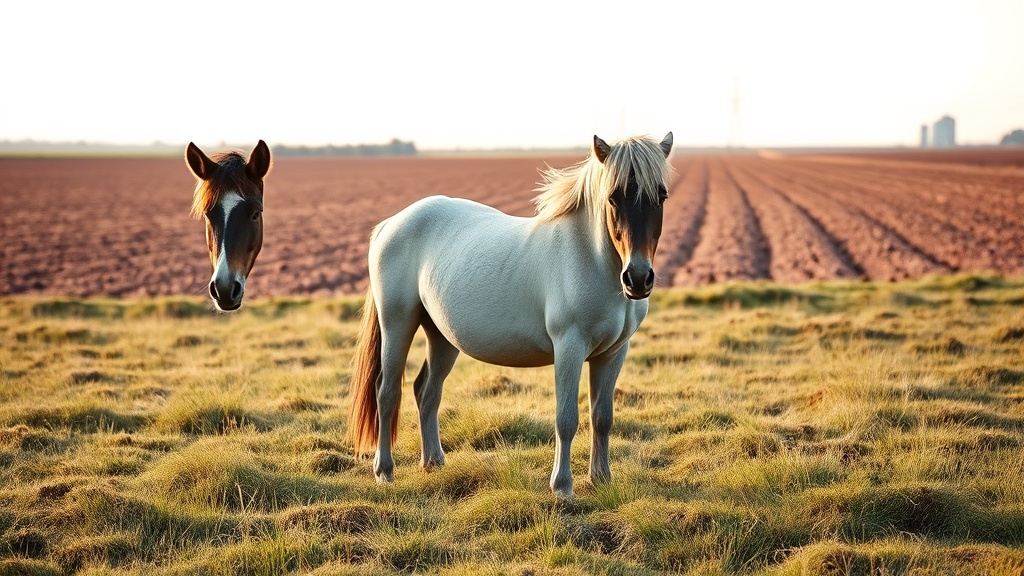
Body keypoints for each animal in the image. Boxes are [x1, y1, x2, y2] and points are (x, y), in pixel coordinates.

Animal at [349, 132, 673, 498]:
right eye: (613, 198)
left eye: (661, 195)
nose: (638, 279)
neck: (590, 258)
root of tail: (391, 223)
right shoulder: (569, 348)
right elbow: (566, 418)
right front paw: (562, 487)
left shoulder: (614, 353)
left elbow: (602, 417)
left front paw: (601, 479)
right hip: (397, 324)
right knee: (387, 391)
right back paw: (384, 471)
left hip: (442, 336)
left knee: (426, 391)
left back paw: (434, 462)